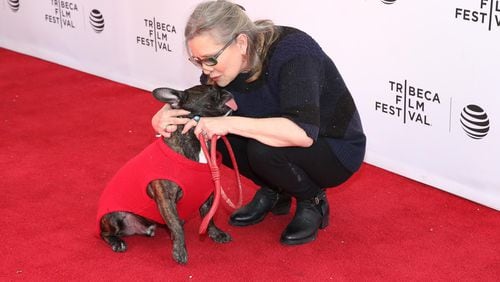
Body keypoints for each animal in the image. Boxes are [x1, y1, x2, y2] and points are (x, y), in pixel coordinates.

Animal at [97, 84, 238, 264]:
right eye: (211, 91)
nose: (228, 91)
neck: (197, 140)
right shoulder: (166, 199)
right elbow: (176, 225)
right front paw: (179, 250)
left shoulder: (208, 195)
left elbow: (209, 216)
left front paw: (216, 233)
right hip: (112, 216)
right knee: (105, 233)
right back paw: (117, 242)